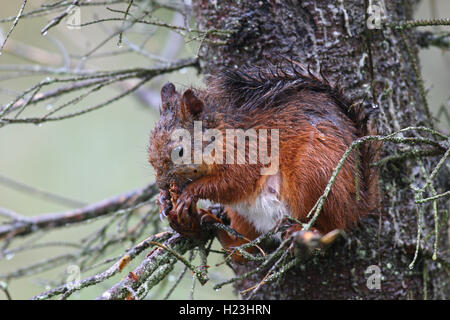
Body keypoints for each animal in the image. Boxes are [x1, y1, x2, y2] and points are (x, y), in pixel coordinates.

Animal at [147, 62, 376, 260]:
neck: (222, 132)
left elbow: (233, 182)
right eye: (149, 151)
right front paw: (163, 200)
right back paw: (205, 222)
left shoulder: (248, 153)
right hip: (243, 216)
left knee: (331, 227)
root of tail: (356, 205)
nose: (162, 185)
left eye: (179, 151)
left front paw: (188, 193)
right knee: (240, 252)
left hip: (315, 178)